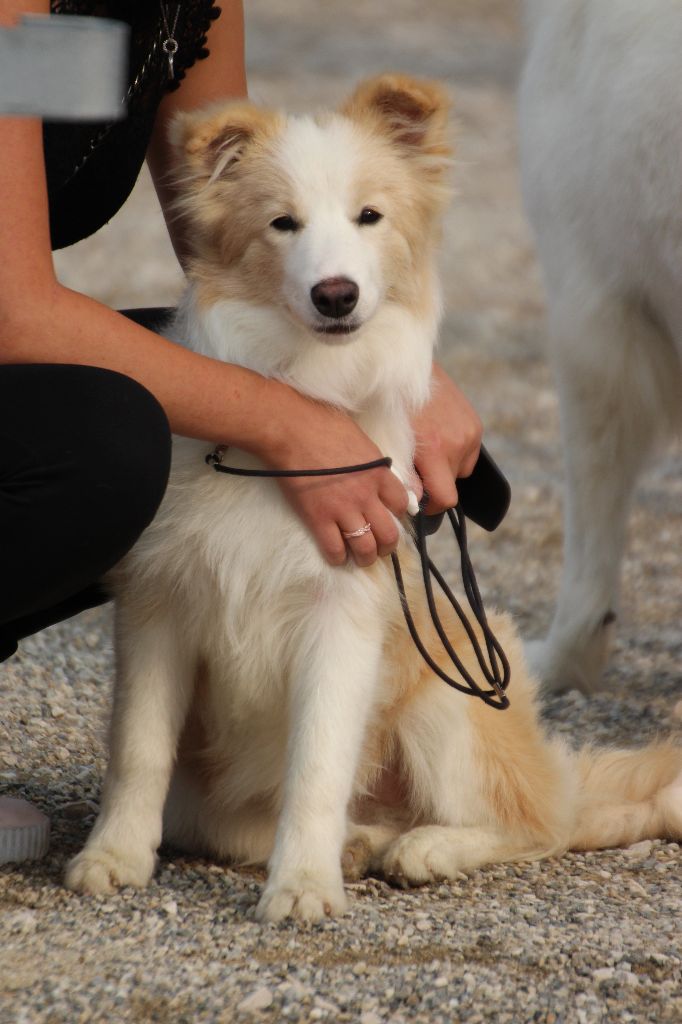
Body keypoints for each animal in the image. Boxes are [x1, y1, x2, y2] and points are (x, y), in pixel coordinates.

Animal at [65, 72, 679, 921]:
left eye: (369, 216)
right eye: (282, 223)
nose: (336, 294)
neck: (308, 389)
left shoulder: (344, 619)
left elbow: (318, 766)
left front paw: (301, 888)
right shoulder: (159, 610)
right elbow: (138, 751)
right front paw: (113, 856)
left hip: (448, 687)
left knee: (536, 825)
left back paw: (425, 847)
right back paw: (362, 843)